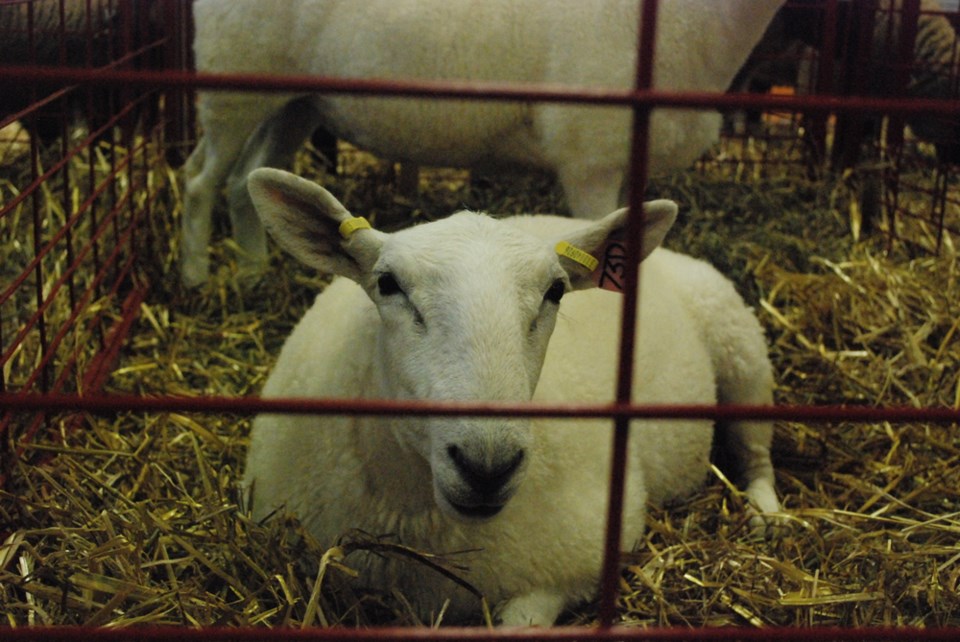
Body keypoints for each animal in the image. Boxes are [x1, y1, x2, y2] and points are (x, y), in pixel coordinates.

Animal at [182, 0, 788, 284]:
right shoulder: (590, 157)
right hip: (233, 84)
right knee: (198, 181)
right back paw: (197, 277)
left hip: (295, 103)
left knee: (244, 180)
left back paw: (253, 272)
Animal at [242, 166, 780, 624]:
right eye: (388, 284)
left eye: (556, 291)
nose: (486, 465)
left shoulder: (576, 562)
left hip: (743, 349)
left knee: (757, 453)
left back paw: (768, 517)